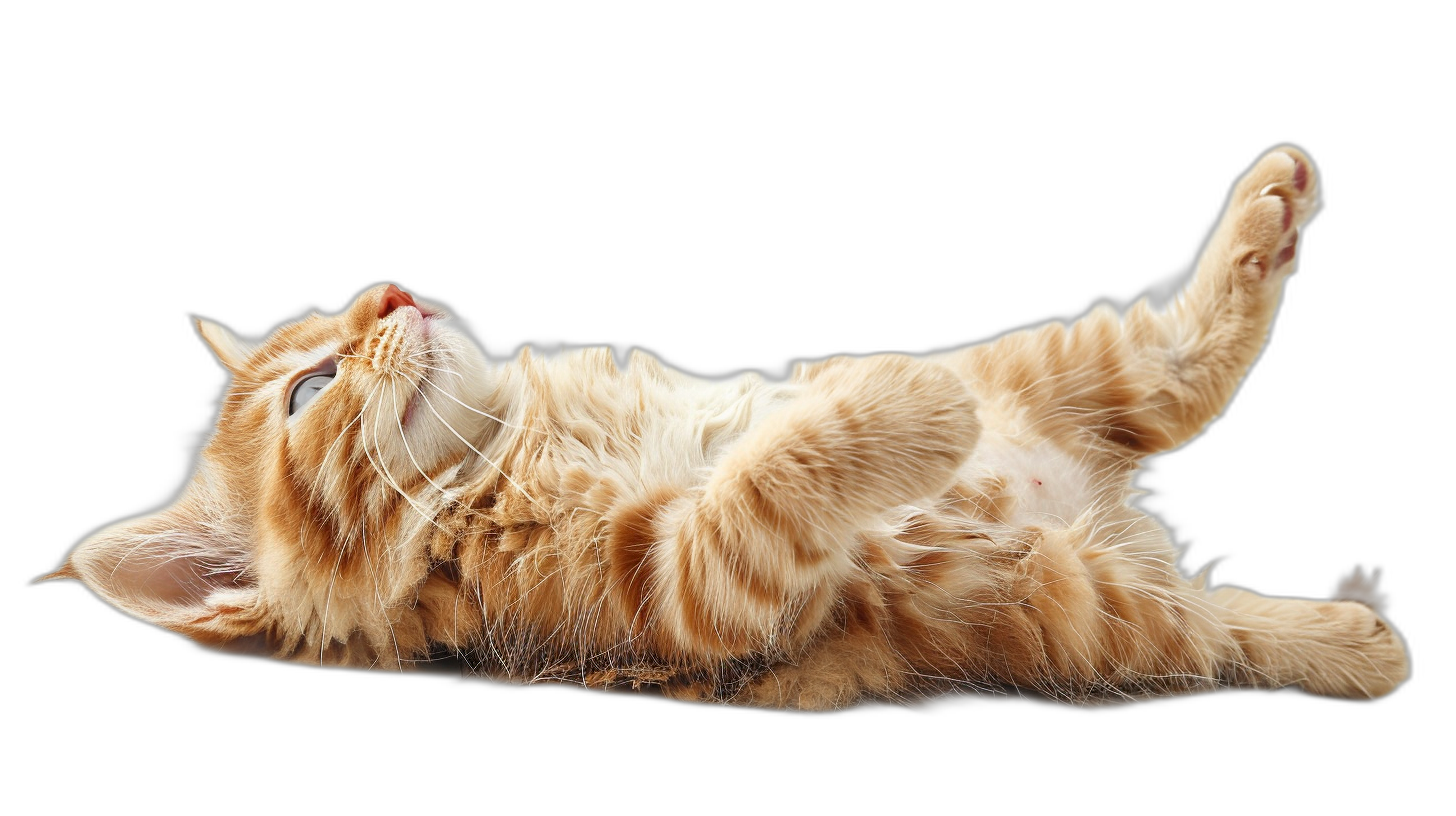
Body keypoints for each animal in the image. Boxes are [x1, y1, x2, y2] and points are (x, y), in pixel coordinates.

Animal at [39, 144, 1409, 708]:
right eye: (306, 392)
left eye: (332, 319)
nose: (390, 290)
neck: (517, 444)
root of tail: (1106, 525)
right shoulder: (688, 589)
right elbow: (771, 477)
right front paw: (911, 405)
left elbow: (786, 413)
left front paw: (870, 379)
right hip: (1078, 601)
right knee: (1215, 630)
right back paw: (1361, 643)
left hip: (1056, 383)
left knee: (1169, 368)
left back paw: (1270, 203)